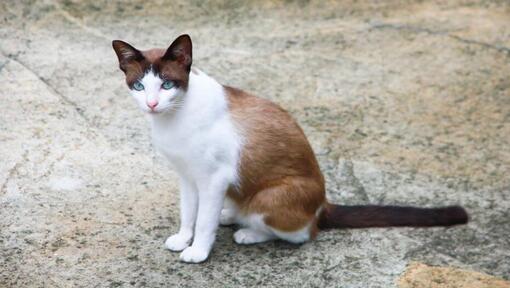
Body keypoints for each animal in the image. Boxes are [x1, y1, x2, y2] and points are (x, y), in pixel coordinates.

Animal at [113, 34, 468, 264]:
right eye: (139, 86)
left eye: (167, 85)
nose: (152, 104)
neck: (172, 119)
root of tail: (323, 203)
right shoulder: (188, 177)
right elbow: (189, 214)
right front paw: (182, 239)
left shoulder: (213, 179)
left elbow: (203, 223)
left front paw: (198, 251)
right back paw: (232, 217)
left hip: (271, 195)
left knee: (302, 233)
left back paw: (249, 233)